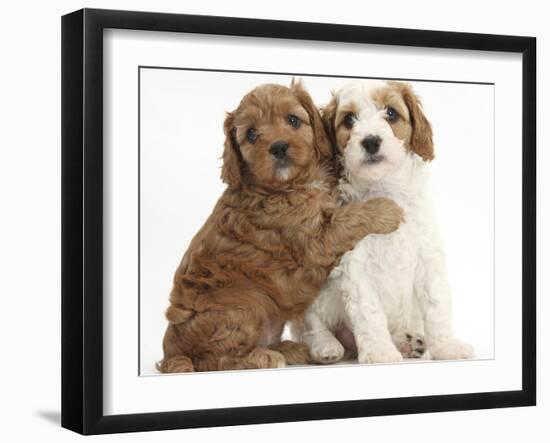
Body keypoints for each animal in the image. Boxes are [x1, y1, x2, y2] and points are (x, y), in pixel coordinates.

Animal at [157, 81, 404, 372]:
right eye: (251, 134)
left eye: (293, 120)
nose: (278, 147)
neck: (293, 184)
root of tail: (172, 353)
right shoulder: (313, 240)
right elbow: (348, 217)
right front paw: (387, 209)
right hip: (244, 304)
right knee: (216, 360)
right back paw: (265, 357)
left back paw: (291, 348)